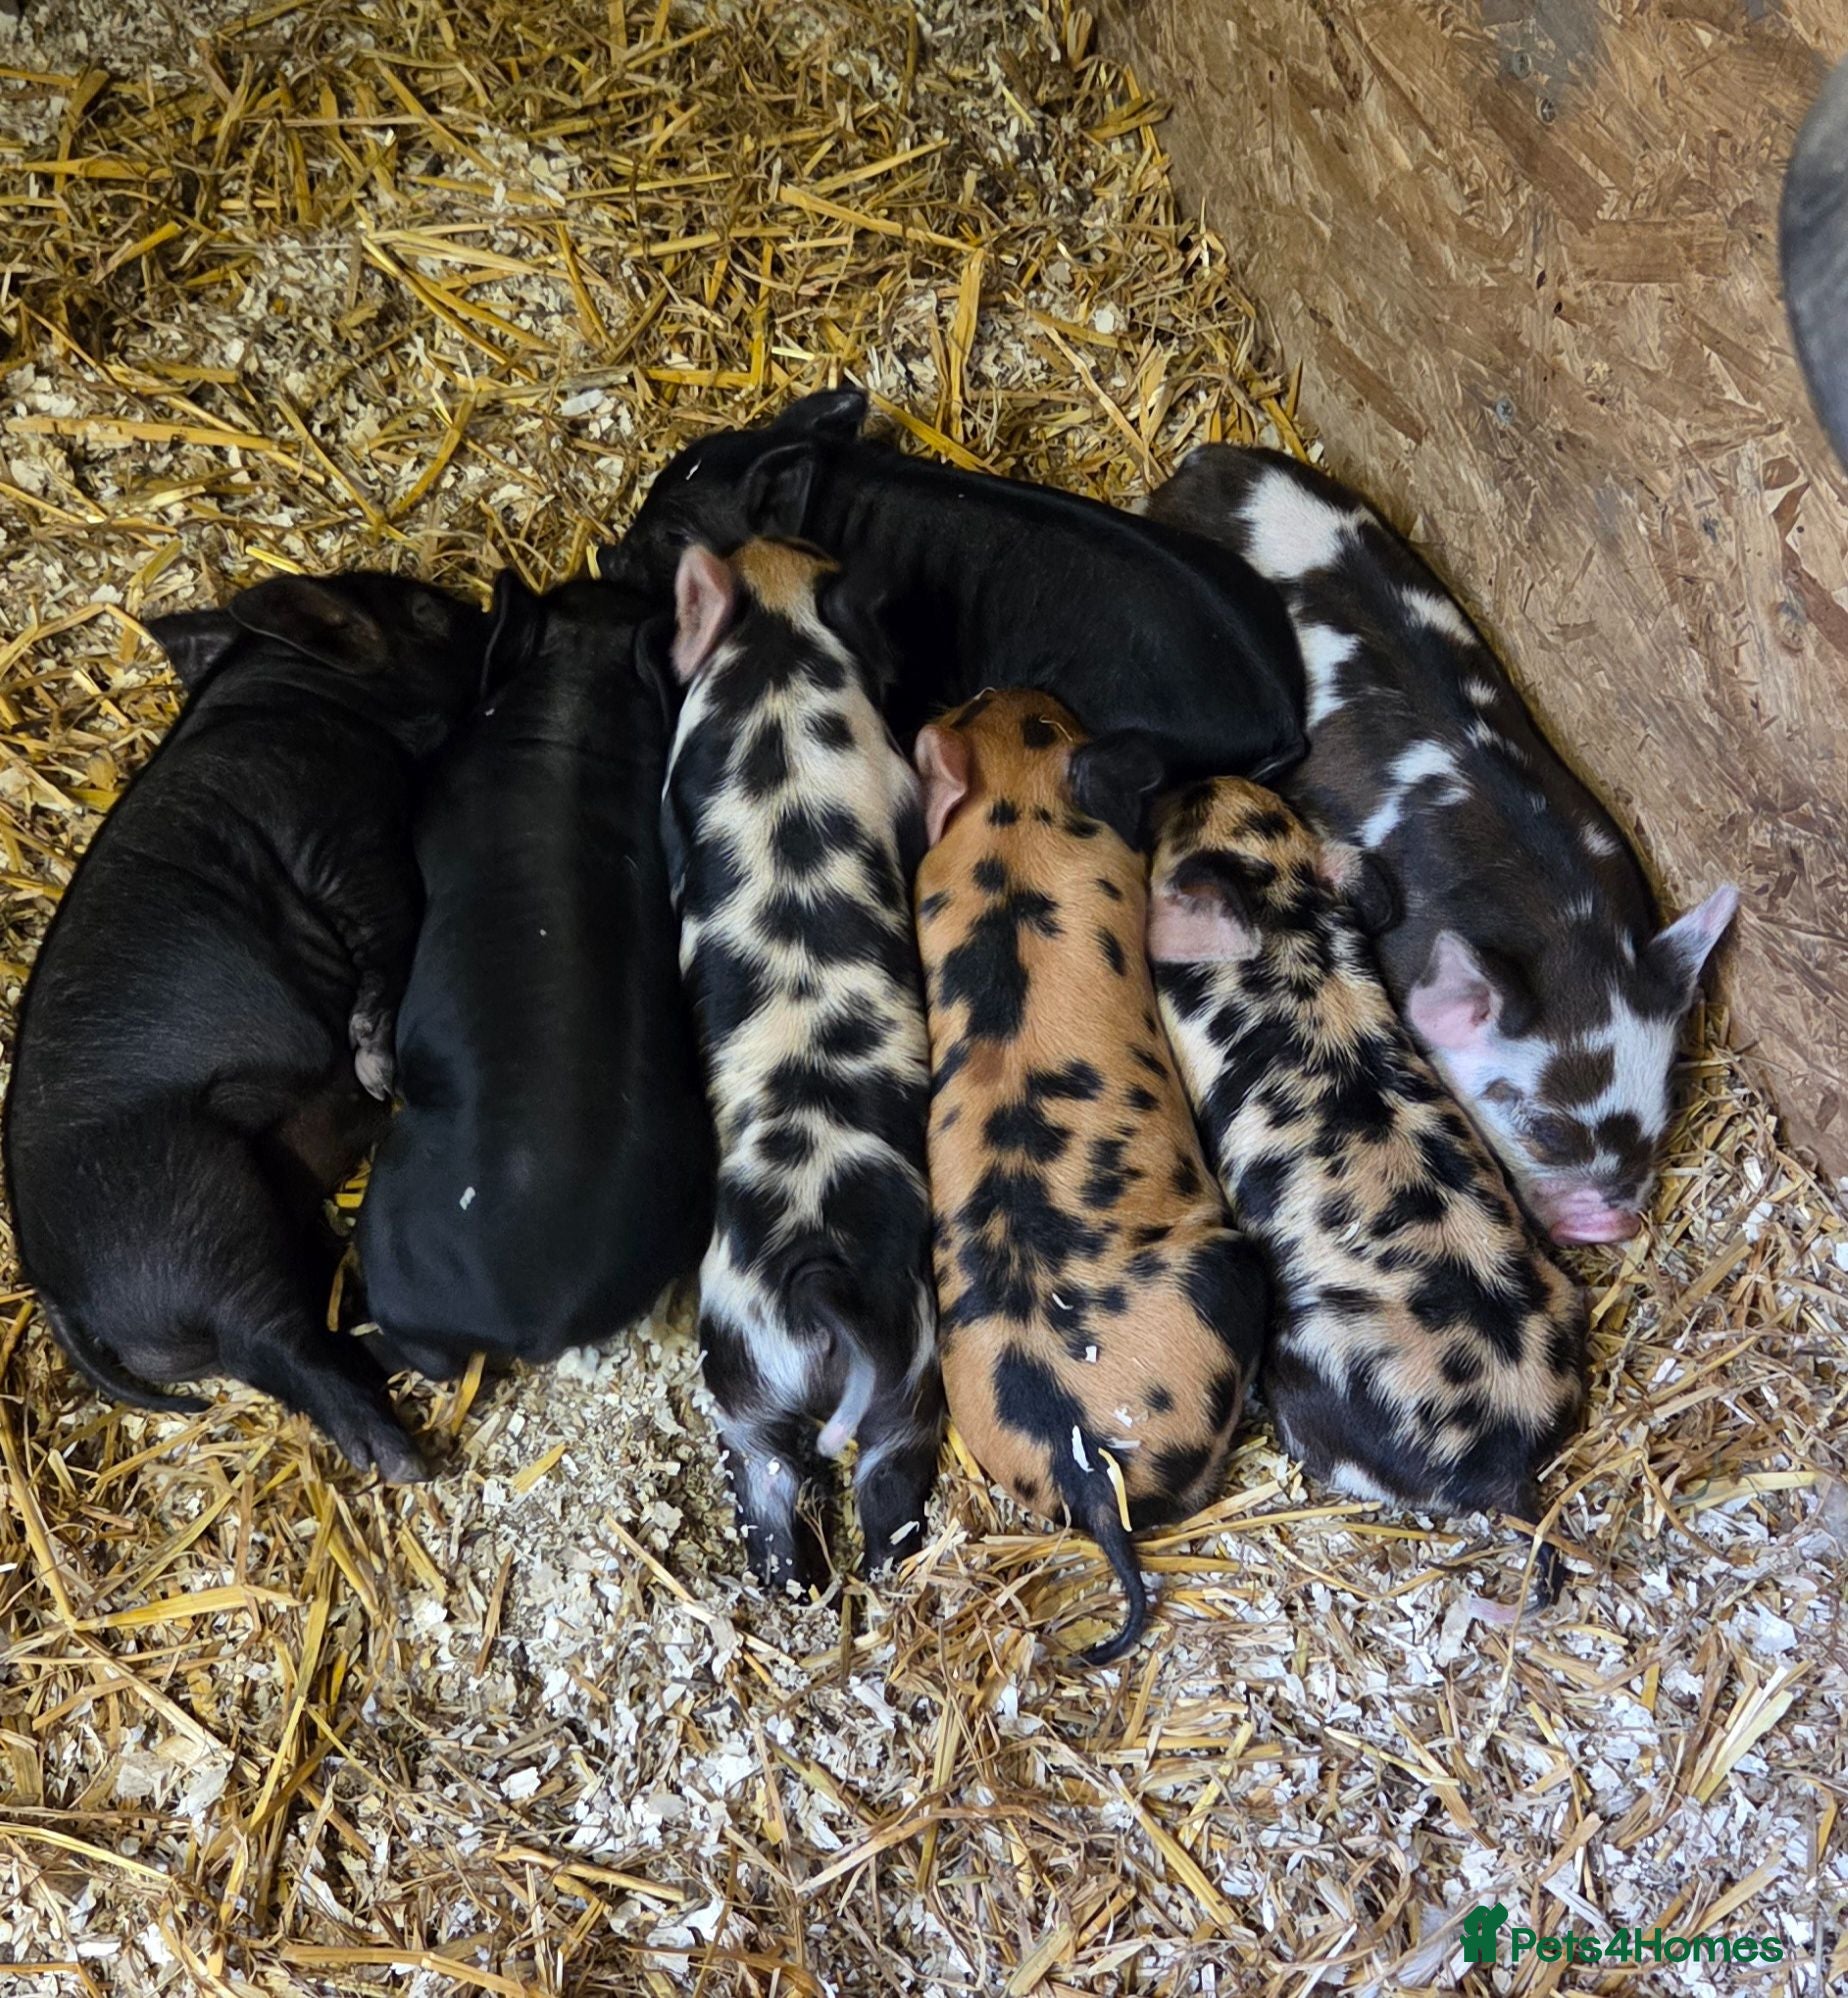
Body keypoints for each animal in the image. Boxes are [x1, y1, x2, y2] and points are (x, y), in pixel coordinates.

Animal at [3, 573, 489, 1477]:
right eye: (429, 614)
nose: (493, 608)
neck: (304, 693)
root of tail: (55, 1289)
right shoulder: (335, 831)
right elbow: (391, 922)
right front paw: (377, 1066)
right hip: (197, 1219)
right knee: (273, 1340)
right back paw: (403, 1460)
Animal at [662, 537, 943, 1590]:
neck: (780, 661)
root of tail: (819, 1272)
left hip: (747, 1376)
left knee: (780, 1492)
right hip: (895, 1366)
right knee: (874, 1493)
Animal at [913, 690, 1271, 1665]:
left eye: (984, 701)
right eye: (1050, 718)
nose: (1019, 689)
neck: (1012, 825)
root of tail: (1081, 1463)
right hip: (1223, 1269)